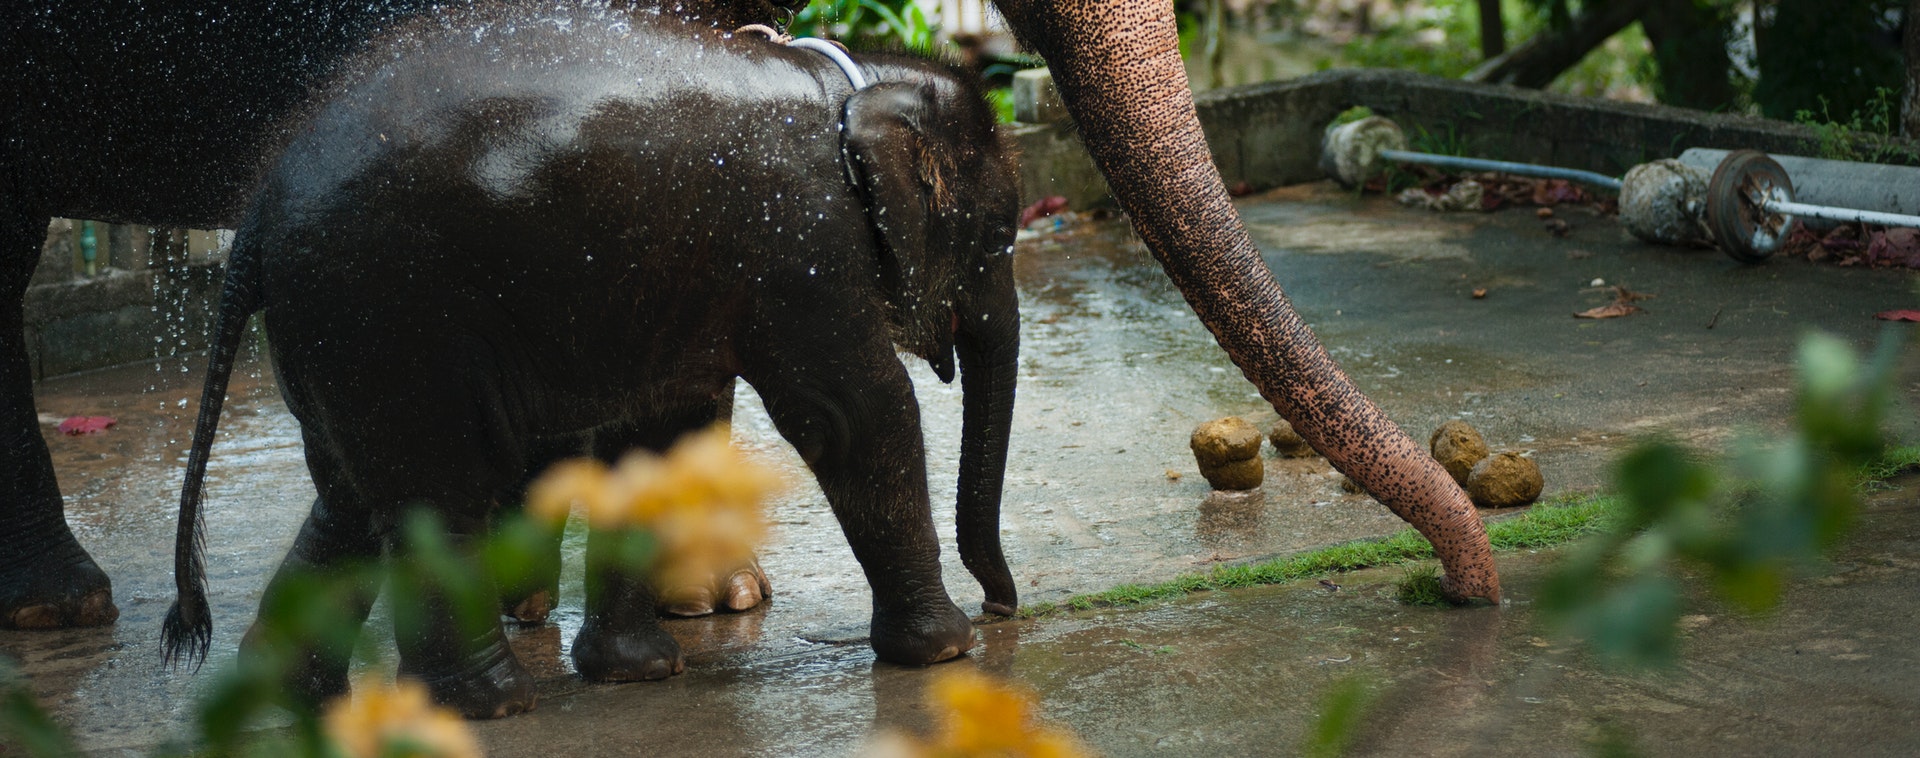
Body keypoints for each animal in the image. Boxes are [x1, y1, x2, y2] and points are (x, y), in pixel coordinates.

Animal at [168, 4, 1021, 717]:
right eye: (999, 236)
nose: (1003, 607)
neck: (849, 84)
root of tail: (254, 220)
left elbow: (656, 434)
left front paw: (637, 672)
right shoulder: (805, 246)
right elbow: (856, 414)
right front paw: (944, 652)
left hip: (343, 333)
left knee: (352, 494)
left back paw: (297, 694)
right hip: (389, 311)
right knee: (442, 489)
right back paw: (493, 704)